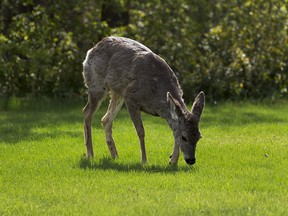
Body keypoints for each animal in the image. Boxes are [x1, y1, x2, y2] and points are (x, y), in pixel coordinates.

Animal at [82, 36, 205, 165]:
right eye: (184, 137)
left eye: (199, 136)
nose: (191, 160)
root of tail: (91, 50)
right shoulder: (131, 98)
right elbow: (141, 131)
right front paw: (144, 161)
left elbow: (173, 128)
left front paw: (173, 161)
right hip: (97, 85)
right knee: (87, 113)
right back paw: (90, 154)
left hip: (118, 92)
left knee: (105, 119)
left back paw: (115, 156)